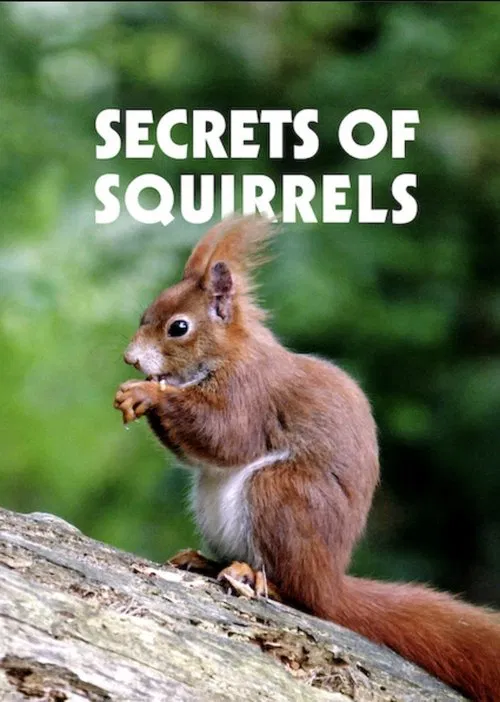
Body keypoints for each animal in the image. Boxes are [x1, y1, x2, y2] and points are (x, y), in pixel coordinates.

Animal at [114, 215, 500, 701]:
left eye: (178, 328)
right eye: (145, 314)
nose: (129, 358)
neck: (227, 354)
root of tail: (329, 581)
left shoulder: (251, 394)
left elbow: (225, 436)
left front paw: (150, 393)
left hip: (280, 495)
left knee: (299, 595)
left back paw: (256, 578)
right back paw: (208, 562)